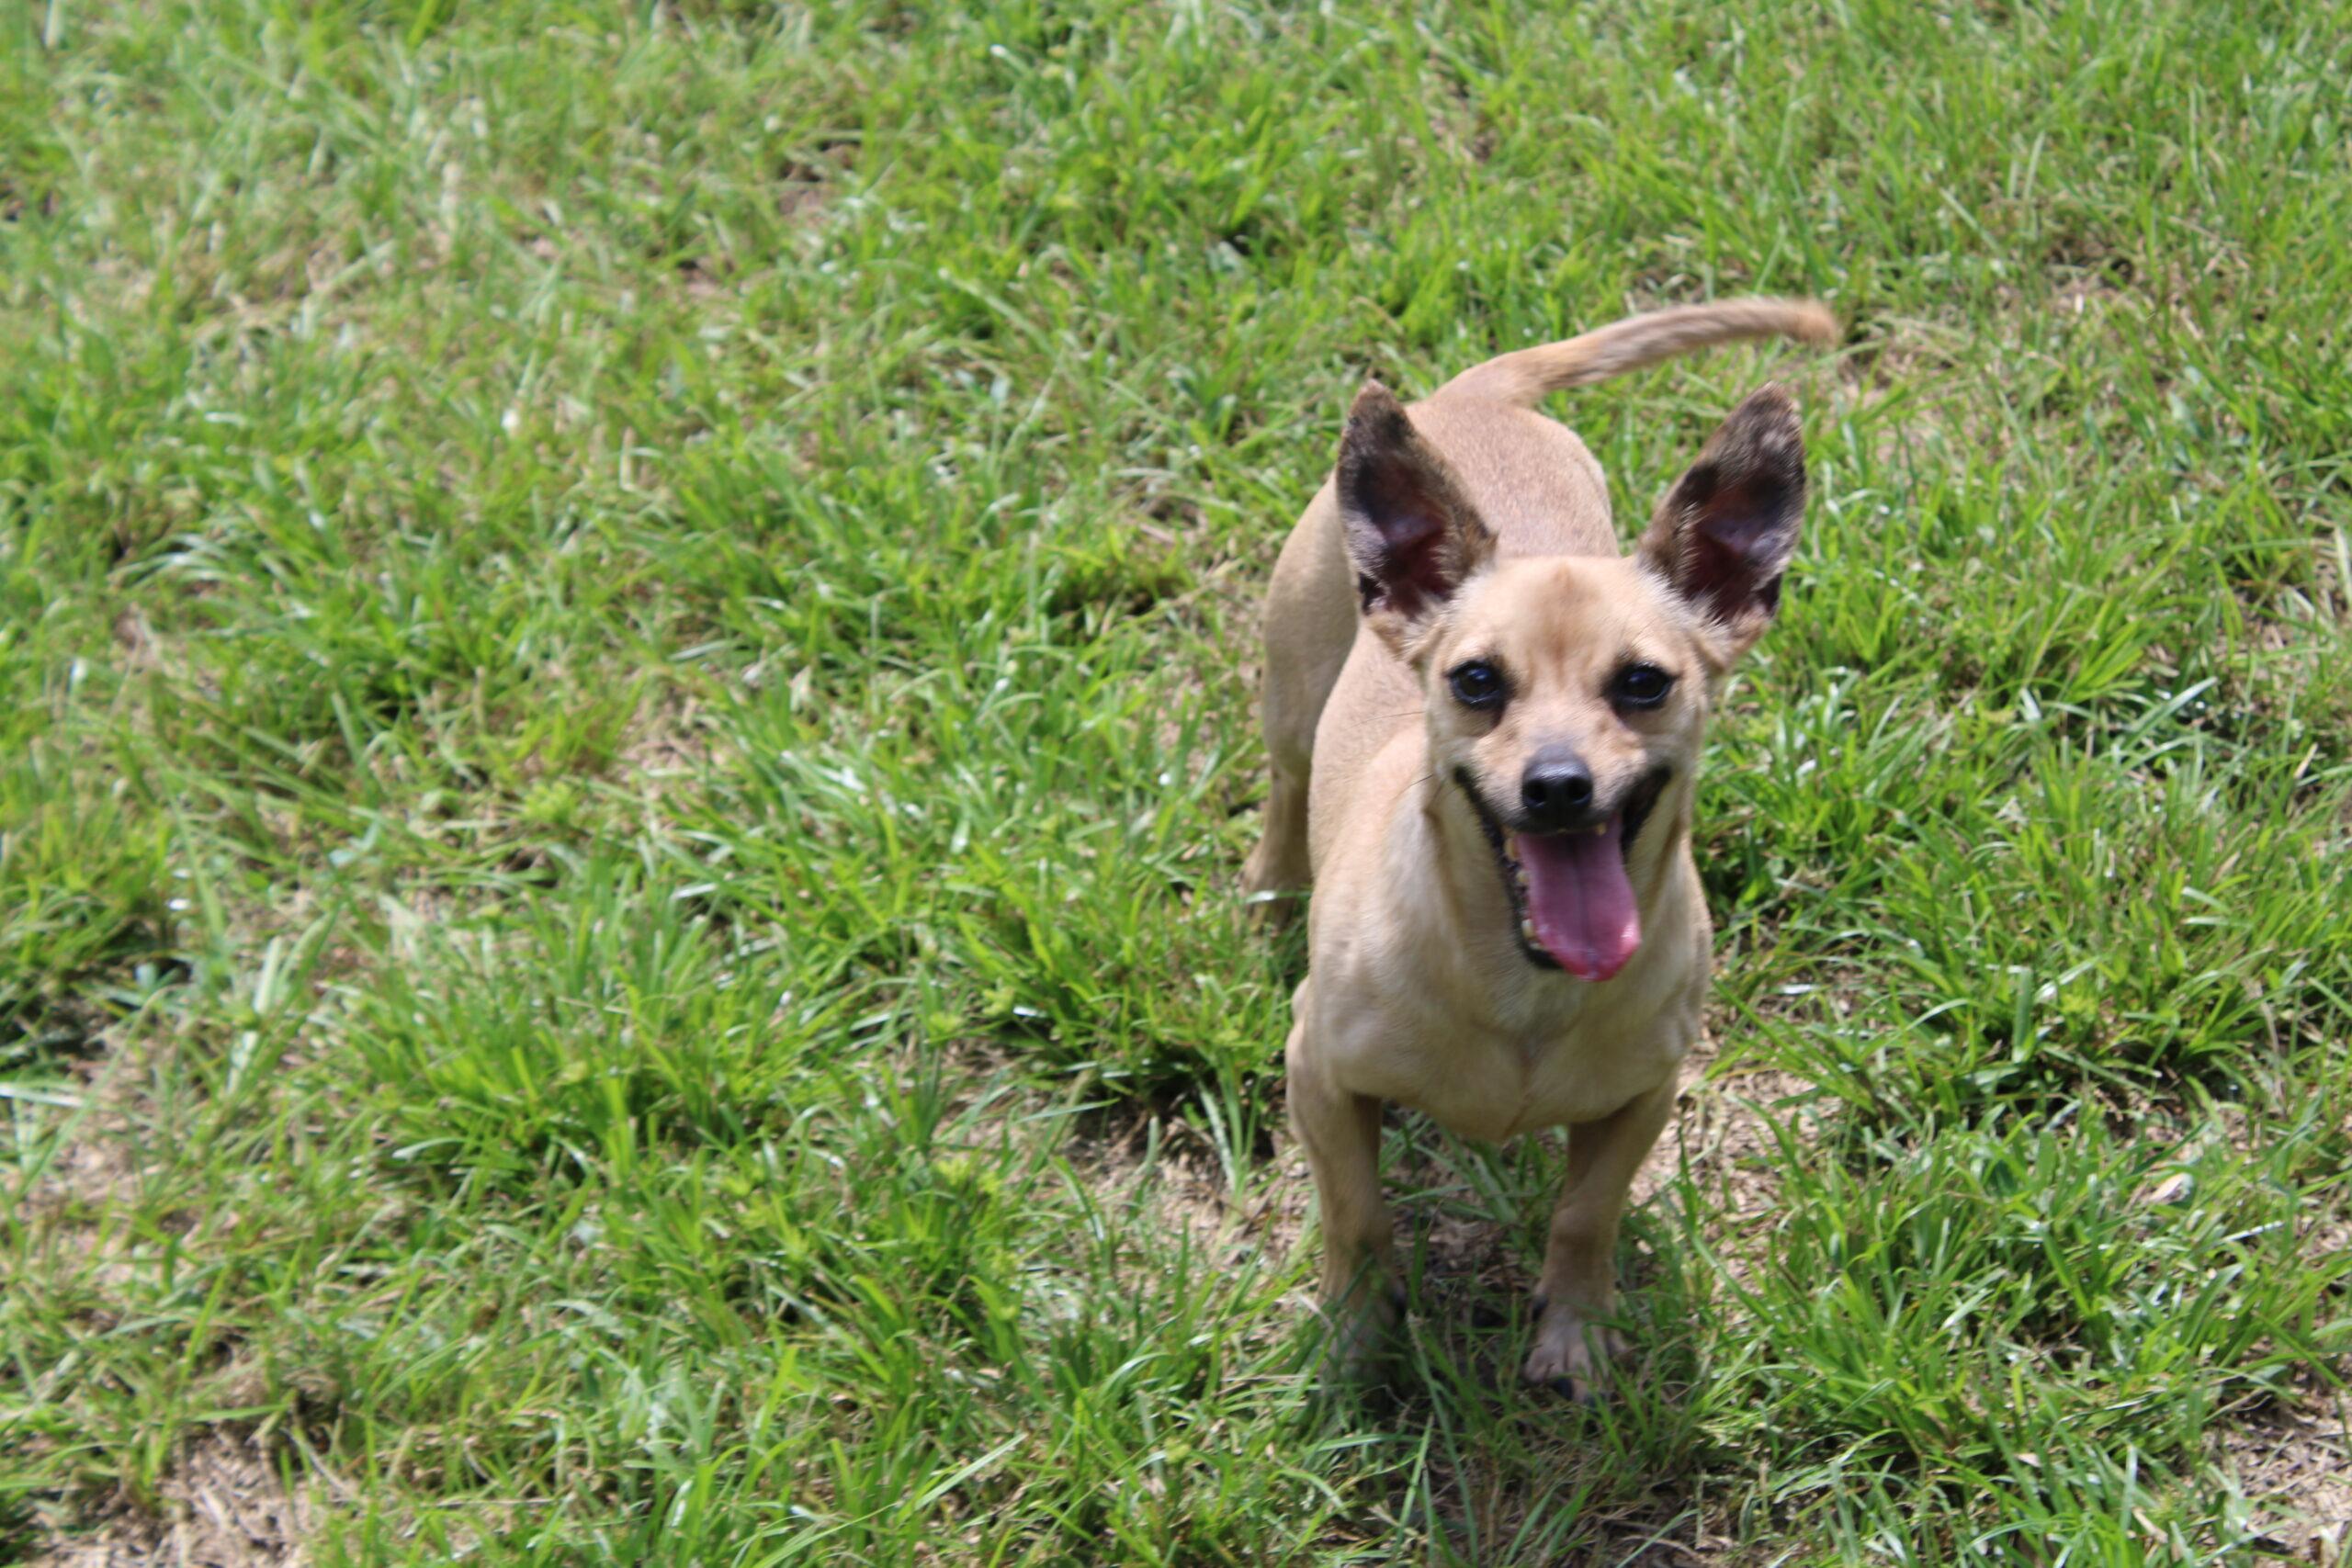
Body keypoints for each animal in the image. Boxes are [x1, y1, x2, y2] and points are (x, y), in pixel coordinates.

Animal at [1250, 297, 1834, 1401]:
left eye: (1644, 683)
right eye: (1476, 681)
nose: (1557, 787)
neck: (1524, 981)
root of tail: (1478, 394)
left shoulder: (1642, 1097)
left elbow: (1583, 1216)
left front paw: (1575, 1332)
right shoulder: (1319, 1074)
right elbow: (1355, 1216)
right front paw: (1355, 1339)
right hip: (1292, 688)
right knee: (1285, 784)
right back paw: (1270, 885)